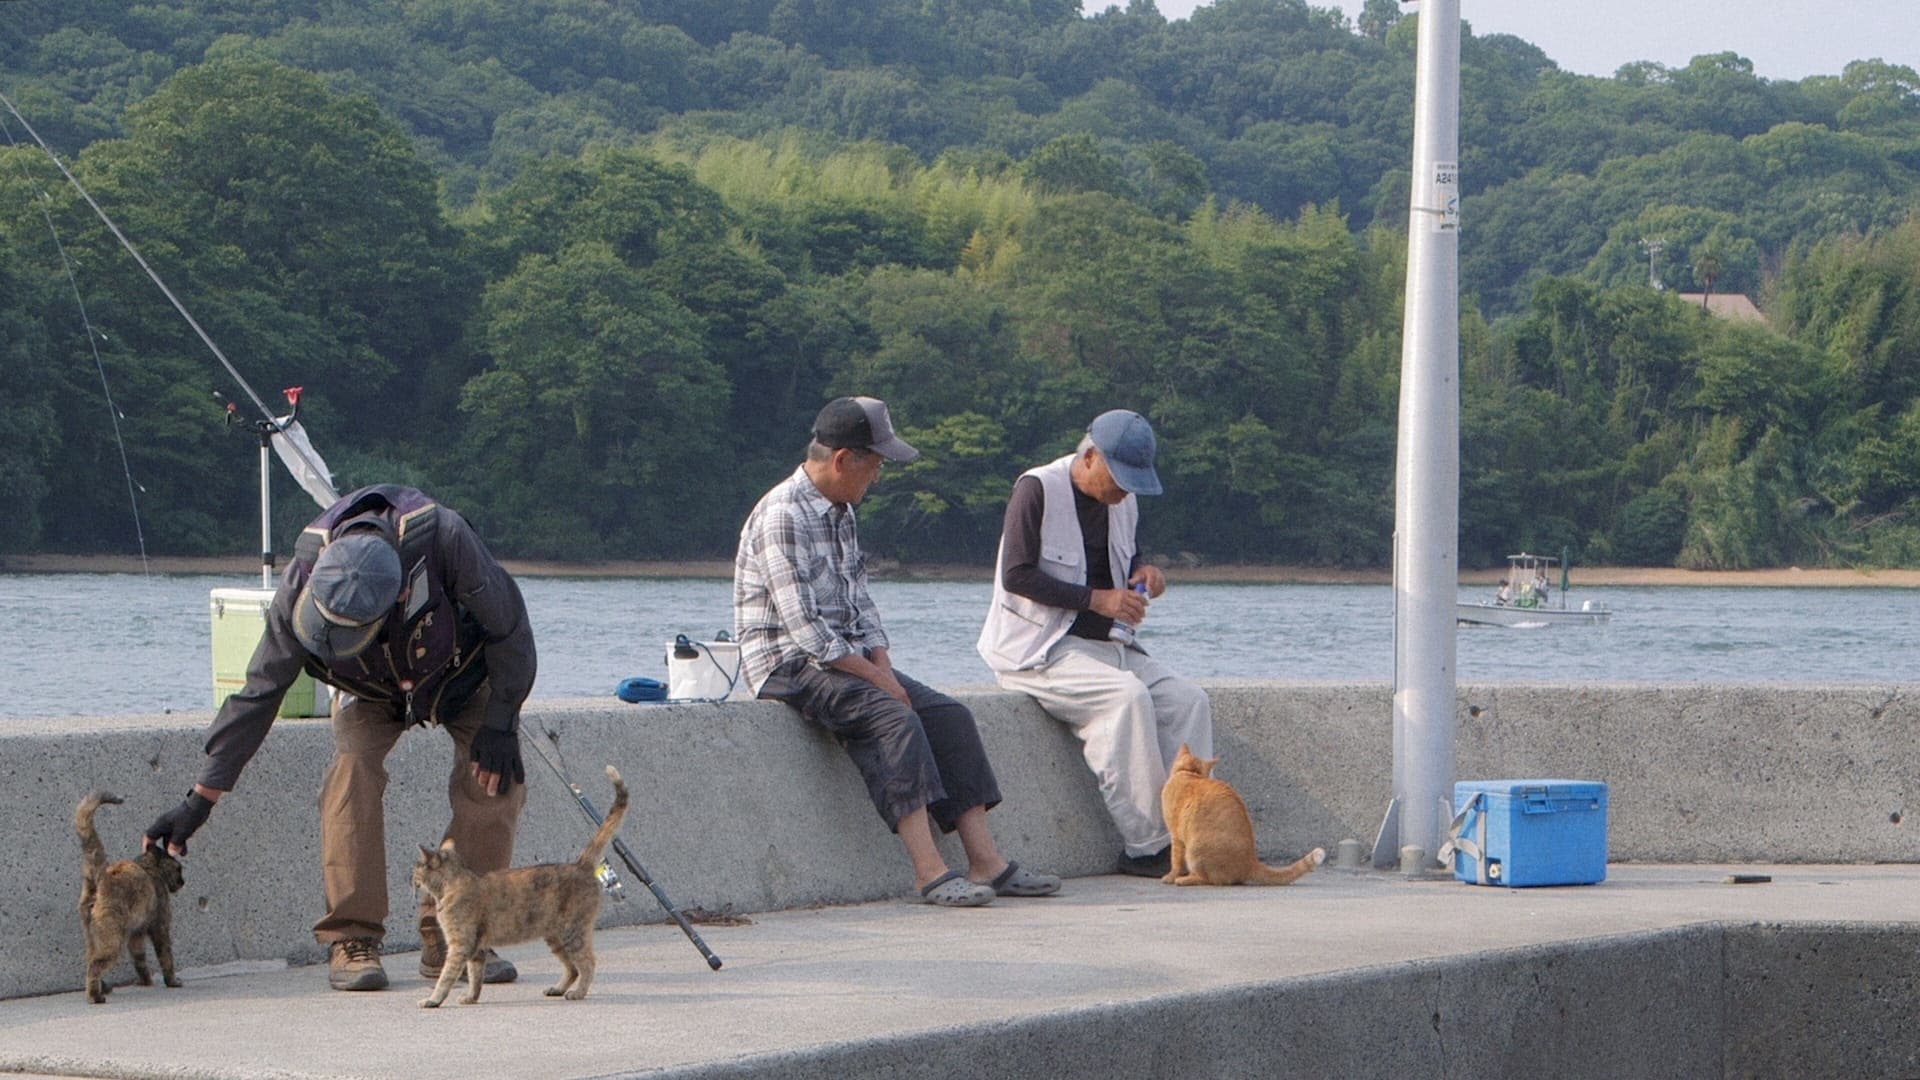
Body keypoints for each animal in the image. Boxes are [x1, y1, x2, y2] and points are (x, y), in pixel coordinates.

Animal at [77, 780, 184, 999]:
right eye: (179, 869)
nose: (183, 881)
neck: (148, 866)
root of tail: (102, 878)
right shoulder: (159, 924)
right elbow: (166, 956)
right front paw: (172, 981)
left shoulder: (136, 934)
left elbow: (139, 959)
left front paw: (145, 981)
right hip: (113, 940)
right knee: (95, 965)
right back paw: (95, 996)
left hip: (93, 936)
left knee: (90, 959)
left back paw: (103, 987)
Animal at [412, 760, 629, 1006]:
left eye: (416, 868)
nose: (412, 878)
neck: (452, 884)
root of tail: (580, 864)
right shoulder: (476, 949)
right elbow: (476, 976)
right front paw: (471, 997)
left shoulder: (460, 945)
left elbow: (446, 977)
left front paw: (433, 1000)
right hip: (555, 937)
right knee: (572, 968)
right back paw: (558, 988)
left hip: (573, 932)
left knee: (588, 964)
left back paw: (578, 993)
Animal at [1152, 737, 1320, 883]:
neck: (1189, 773)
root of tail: (1251, 861)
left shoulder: (1176, 836)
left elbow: (1175, 861)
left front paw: (1171, 876)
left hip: (1194, 851)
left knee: (1209, 879)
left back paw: (1185, 880)